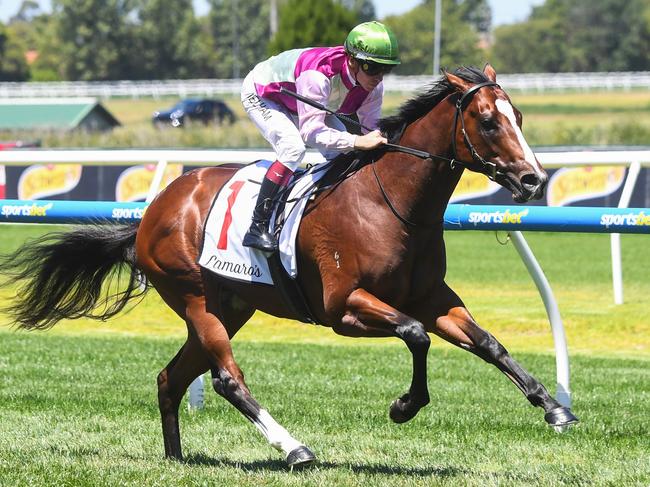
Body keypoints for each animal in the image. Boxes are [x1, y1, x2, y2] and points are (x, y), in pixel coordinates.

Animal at [0, 65, 576, 468]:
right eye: (488, 121)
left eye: (519, 118)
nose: (532, 179)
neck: (391, 203)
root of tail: (154, 211)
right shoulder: (344, 307)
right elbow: (415, 335)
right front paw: (404, 406)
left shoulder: (433, 297)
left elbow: (487, 343)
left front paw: (554, 407)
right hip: (195, 297)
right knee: (227, 379)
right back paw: (294, 447)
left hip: (231, 306)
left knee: (171, 377)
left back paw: (176, 457)